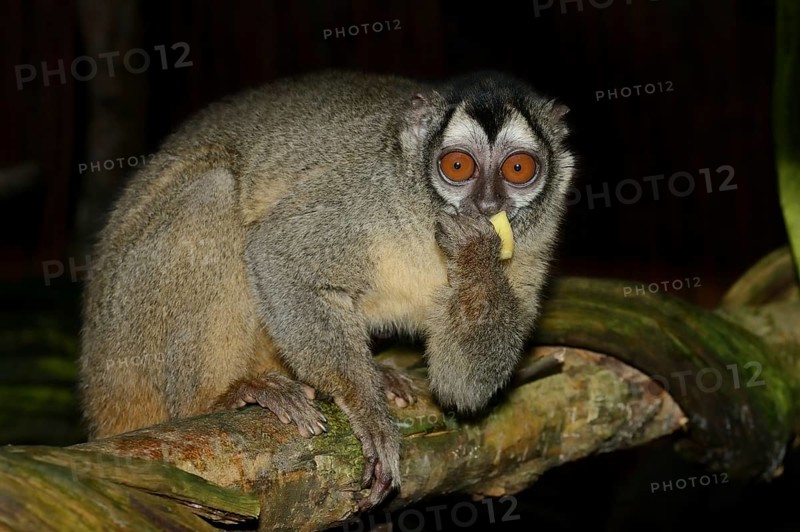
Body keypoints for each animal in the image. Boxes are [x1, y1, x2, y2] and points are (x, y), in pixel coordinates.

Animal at [78, 69, 575, 510]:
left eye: (518, 168)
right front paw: (369, 415)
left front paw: (475, 252)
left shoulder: (535, 248)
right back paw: (221, 397)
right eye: (458, 166)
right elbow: (277, 253)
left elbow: (464, 389)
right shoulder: (364, 195)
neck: (423, 220)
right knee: (213, 193)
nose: (487, 204)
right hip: (126, 343)